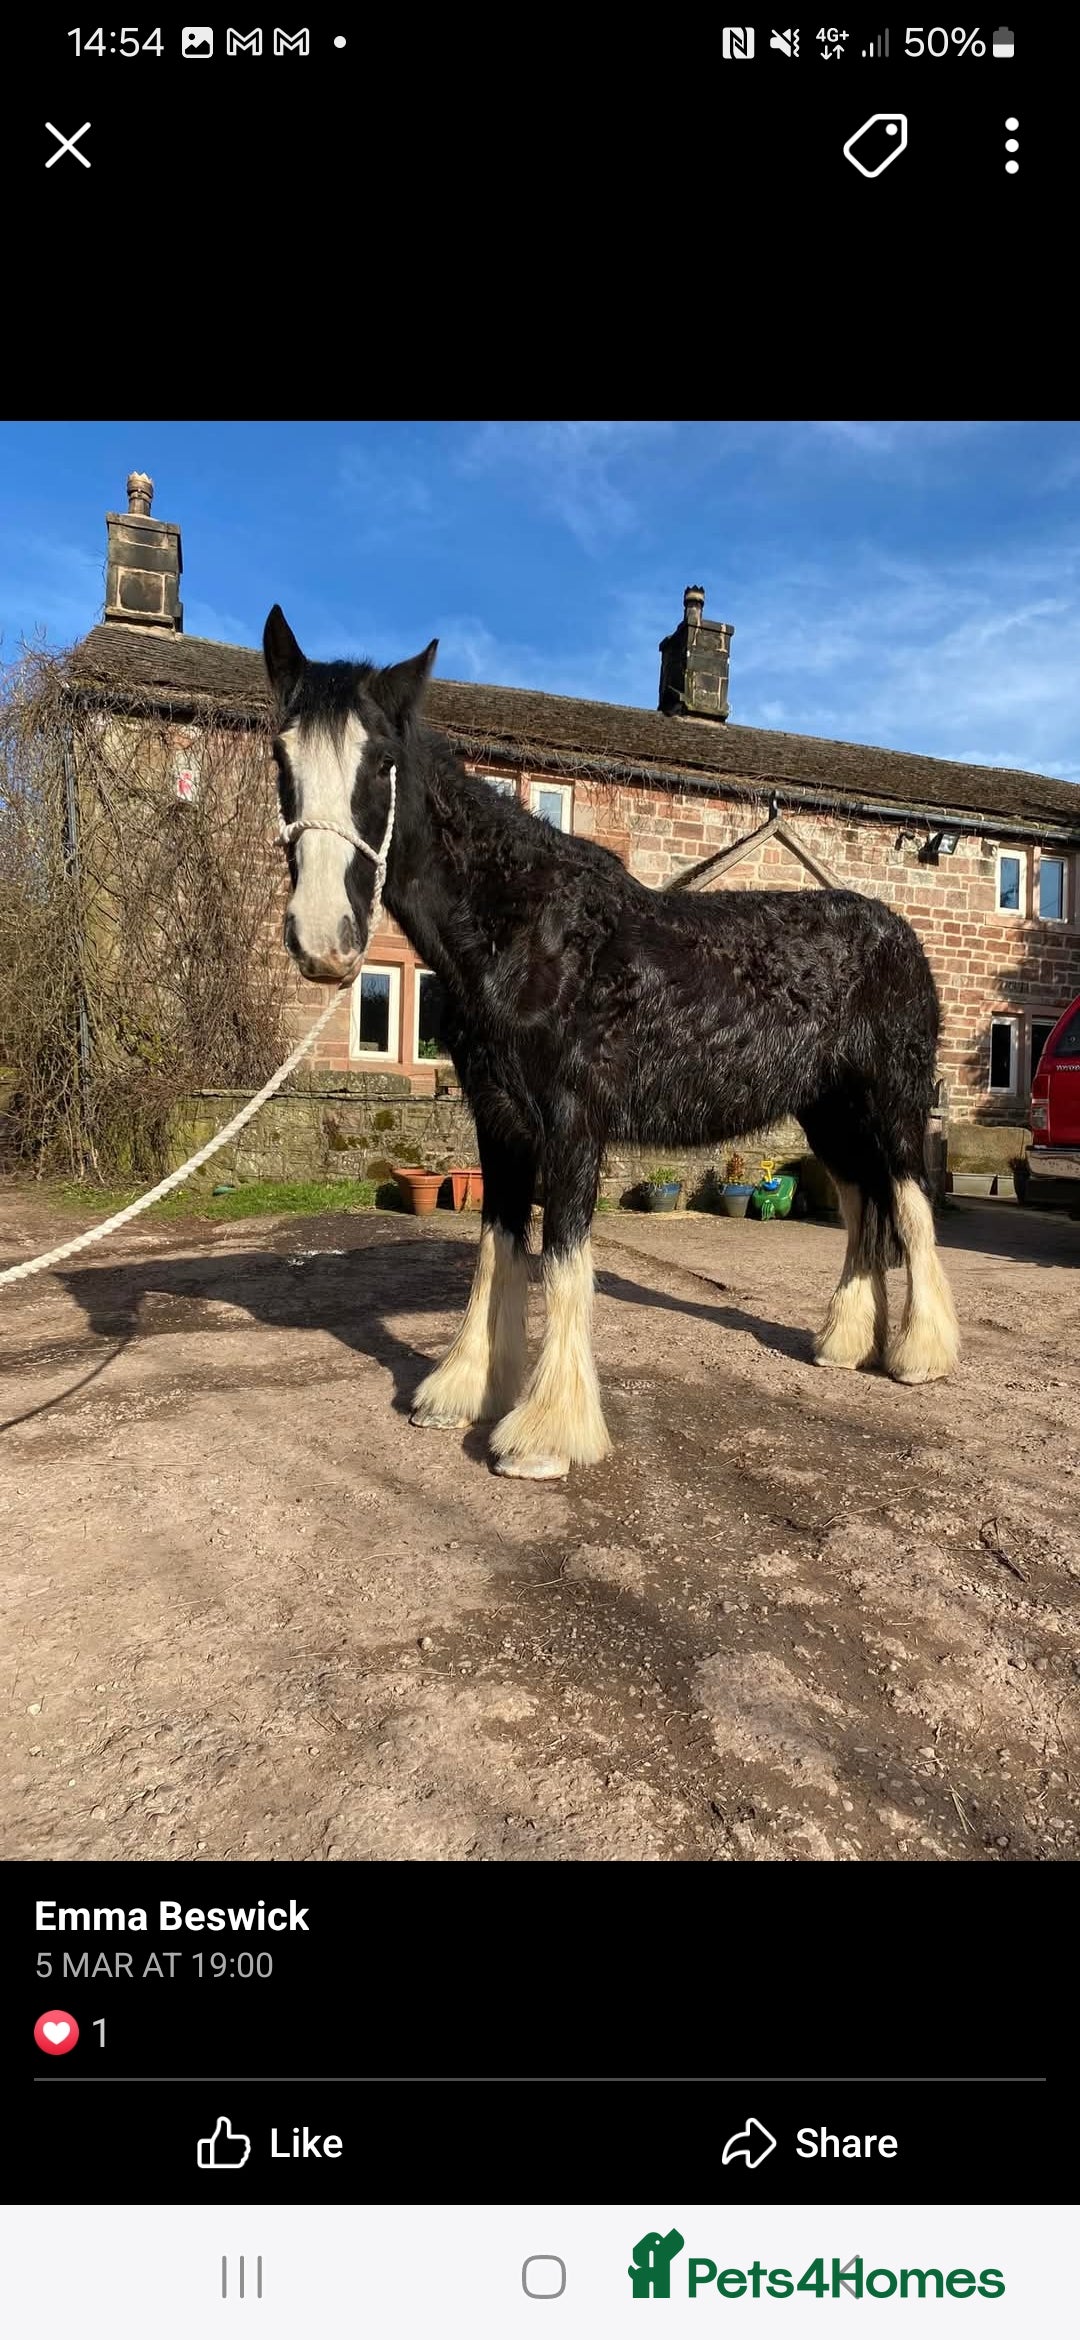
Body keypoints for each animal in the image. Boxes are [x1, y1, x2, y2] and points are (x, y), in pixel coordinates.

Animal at [264, 607, 959, 1482]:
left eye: (381, 762)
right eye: (280, 754)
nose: (323, 940)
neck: (522, 927)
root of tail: (899, 936)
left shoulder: (571, 1125)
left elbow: (564, 1261)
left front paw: (545, 1433)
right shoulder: (499, 1123)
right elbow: (496, 1250)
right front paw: (463, 1390)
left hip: (892, 1100)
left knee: (910, 1203)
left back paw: (920, 1357)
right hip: (828, 1113)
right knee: (866, 1205)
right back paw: (843, 1344)